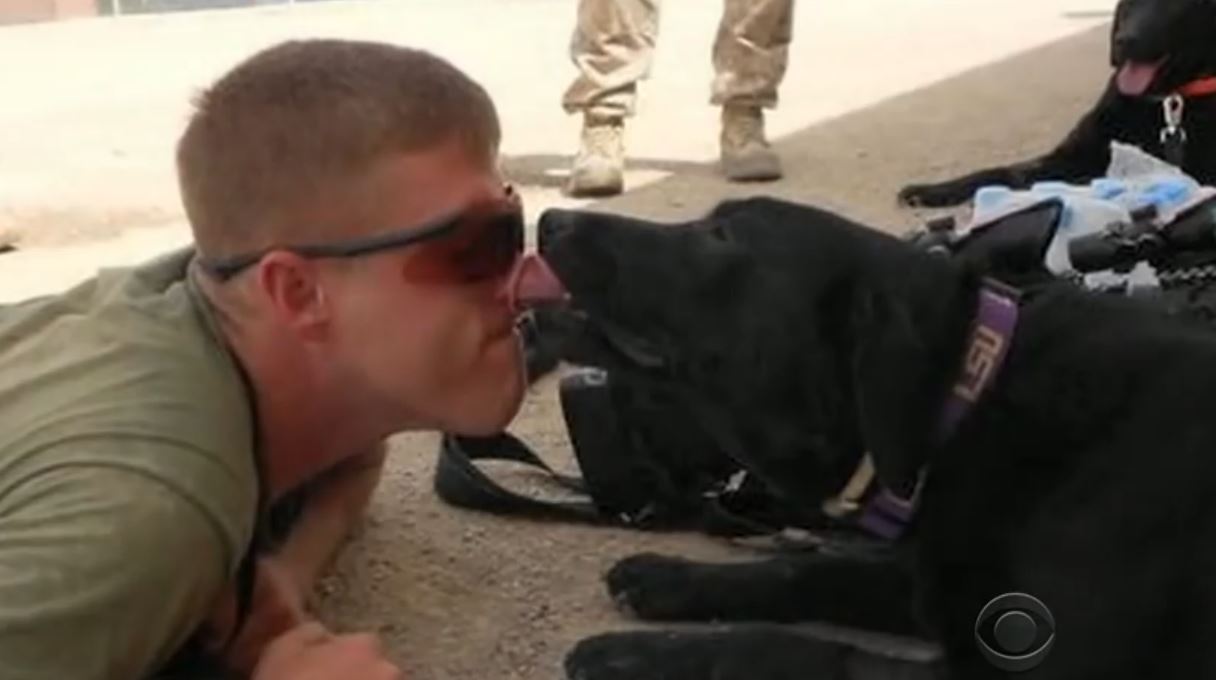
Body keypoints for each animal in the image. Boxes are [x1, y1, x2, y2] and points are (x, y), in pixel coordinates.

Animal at [525, 198, 1216, 680]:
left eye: (721, 236)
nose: (550, 219)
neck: (963, 400)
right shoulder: (927, 579)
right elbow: (805, 571)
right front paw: (672, 578)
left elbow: (791, 648)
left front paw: (636, 656)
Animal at [894, 0, 1216, 210]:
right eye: (1129, 4)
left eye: (1173, 5)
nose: (1125, 40)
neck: (1163, 98)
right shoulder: (1068, 155)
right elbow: (1000, 171)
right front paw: (934, 190)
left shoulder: (1196, 175)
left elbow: (1094, 180)